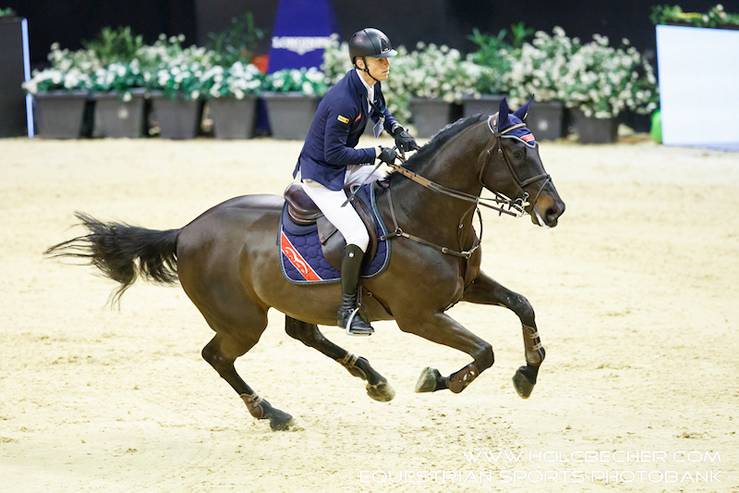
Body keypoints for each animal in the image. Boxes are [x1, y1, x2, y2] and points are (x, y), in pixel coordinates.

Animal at [46, 98, 568, 428]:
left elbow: (523, 306)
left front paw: (528, 374)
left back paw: (373, 380)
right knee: (218, 356)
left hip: (294, 300)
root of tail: (187, 230)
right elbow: (484, 351)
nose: (554, 210)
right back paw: (272, 413)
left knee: (303, 333)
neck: (426, 214)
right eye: (517, 148)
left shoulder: (468, 285)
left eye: (538, 145)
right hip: (242, 321)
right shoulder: (419, 316)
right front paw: (437, 380)